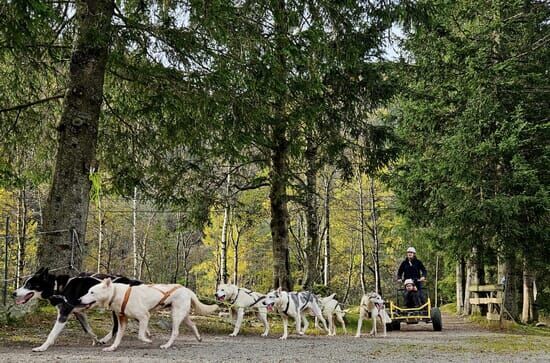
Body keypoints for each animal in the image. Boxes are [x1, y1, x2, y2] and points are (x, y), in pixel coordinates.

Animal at [81, 278, 219, 352]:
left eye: (92, 292)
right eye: (88, 291)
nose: (80, 299)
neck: (116, 294)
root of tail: (187, 289)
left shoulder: (144, 316)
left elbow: (140, 335)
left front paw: (148, 341)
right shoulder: (122, 321)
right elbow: (118, 337)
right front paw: (112, 348)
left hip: (176, 315)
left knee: (175, 332)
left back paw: (166, 345)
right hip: (183, 316)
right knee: (193, 324)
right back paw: (198, 337)